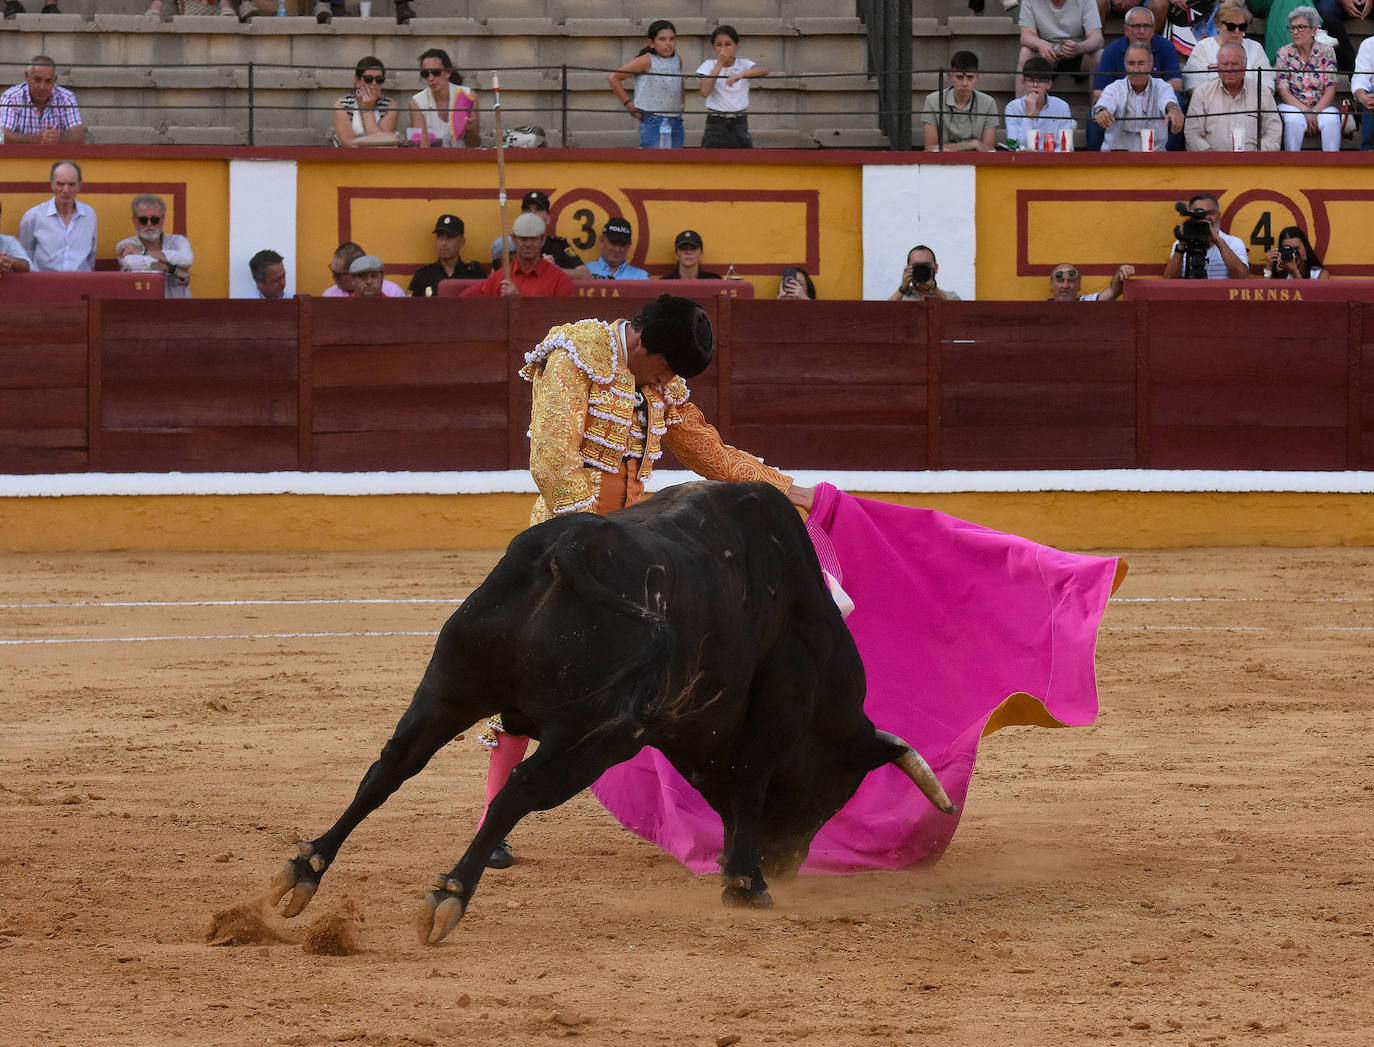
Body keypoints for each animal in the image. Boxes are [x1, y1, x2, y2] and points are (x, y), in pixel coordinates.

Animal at [267, 480, 956, 945]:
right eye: (837, 790)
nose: (787, 866)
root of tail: (571, 544)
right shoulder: (768, 724)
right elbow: (748, 790)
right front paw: (746, 883)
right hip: (594, 736)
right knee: (519, 790)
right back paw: (449, 895)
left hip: (449, 685)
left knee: (389, 767)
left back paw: (303, 871)